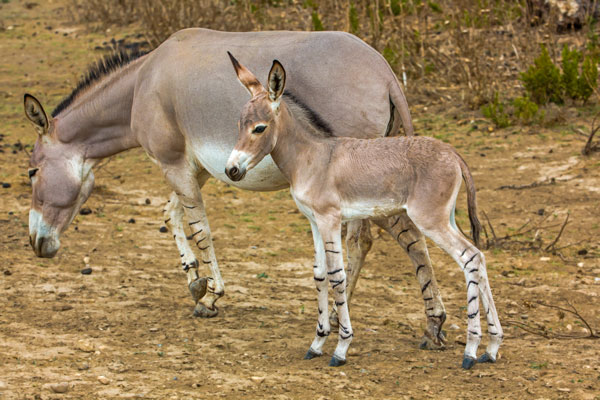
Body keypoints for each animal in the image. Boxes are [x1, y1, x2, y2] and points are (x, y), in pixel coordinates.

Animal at [225, 53, 502, 368]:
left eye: (259, 128)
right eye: (239, 125)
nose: (231, 170)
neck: (312, 157)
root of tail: (453, 152)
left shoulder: (330, 220)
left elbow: (337, 276)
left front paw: (341, 347)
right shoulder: (314, 221)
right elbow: (319, 275)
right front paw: (317, 343)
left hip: (431, 220)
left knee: (470, 258)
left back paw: (471, 350)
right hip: (448, 219)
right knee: (479, 259)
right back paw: (492, 348)